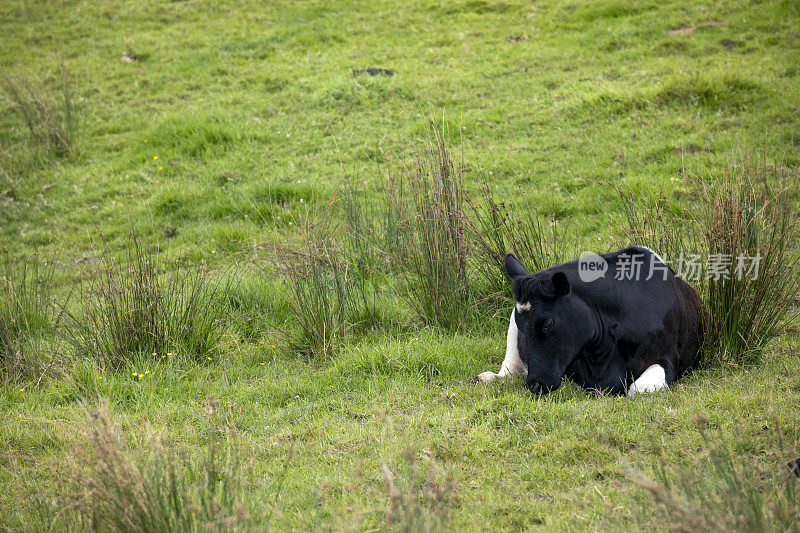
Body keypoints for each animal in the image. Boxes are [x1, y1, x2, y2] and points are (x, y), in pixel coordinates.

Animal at [476, 246, 708, 394]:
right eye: (522, 326)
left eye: (548, 324)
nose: (535, 384)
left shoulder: (669, 357)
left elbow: (639, 389)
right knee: (509, 369)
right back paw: (487, 377)